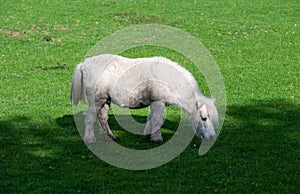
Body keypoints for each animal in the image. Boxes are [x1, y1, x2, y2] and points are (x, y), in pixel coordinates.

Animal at [71, 53, 219, 143]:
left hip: (105, 101)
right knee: (90, 118)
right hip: (96, 101)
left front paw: (149, 134)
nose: (212, 137)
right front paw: (157, 138)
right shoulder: (159, 102)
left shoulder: (155, 103)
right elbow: (158, 120)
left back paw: (109, 137)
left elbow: (151, 118)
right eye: (204, 118)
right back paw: (90, 139)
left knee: (102, 117)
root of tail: (84, 64)